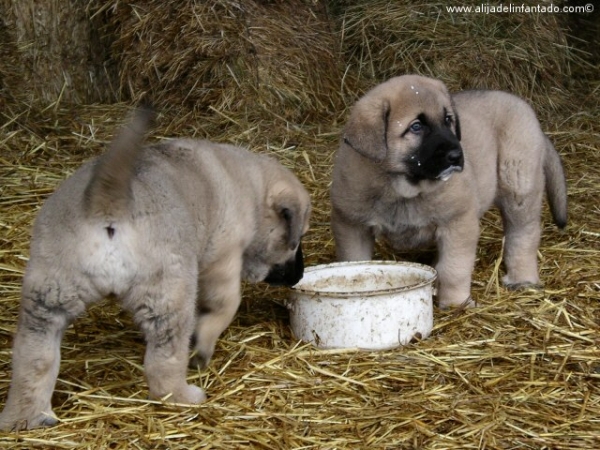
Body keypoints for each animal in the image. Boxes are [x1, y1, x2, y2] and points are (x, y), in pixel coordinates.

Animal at [0, 107, 310, 430]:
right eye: (297, 239)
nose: (300, 275)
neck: (251, 191)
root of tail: (107, 202)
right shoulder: (222, 259)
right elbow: (224, 306)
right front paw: (203, 345)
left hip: (48, 296)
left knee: (34, 360)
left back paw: (24, 418)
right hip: (167, 293)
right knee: (164, 362)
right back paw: (183, 396)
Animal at [330, 74, 568, 310]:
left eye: (447, 120)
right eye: (416, 127)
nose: (456, 155)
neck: (402, 190)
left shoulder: (458, 223)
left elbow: (454, 269)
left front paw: (456, 303)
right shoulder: (352, 226)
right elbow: (354, 261)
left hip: (518, 182)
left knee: (523, 233)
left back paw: (522, 278)